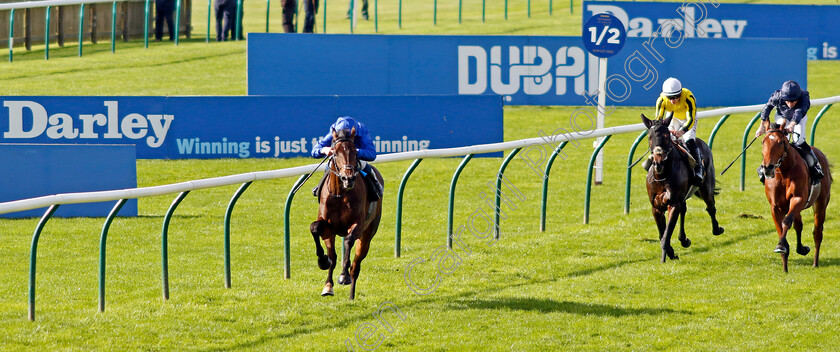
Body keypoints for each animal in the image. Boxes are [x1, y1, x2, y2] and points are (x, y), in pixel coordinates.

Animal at [310, 128, 386, 298]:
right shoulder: (327, 227)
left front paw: (343, 276)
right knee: (334, 256)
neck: (340, 194)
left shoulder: (358, 224)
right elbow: (315, 228)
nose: (348, 178)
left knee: (356, 266)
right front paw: (323, 261)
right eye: (335, 152)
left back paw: (351, 295)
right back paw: (328, 286)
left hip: (368, 233)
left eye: (355, 152)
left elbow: (349, 241)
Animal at [644, 114, 720, 262]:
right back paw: (684, 239)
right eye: (649, 136)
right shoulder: (656, 207)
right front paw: (671, 252)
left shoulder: (673, 203)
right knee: (684, 210)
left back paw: (717, 229)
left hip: (706, 188)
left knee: (711, 207)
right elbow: (662, 233)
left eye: (666, 135)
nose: (658, 163)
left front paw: (665, 257)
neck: (663, 175)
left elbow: (666, 234)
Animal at [756, 121, 832, 272]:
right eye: (763, 141)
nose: (768, 167)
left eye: (780, 142)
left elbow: (786, 222)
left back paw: (815, 262)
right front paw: (784, 263)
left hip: (820, 204)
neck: (783, 172)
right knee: (799, 224)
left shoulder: (798, 199)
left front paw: (781, 246)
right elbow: (781, 228)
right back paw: (801, 249)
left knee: (817, 232)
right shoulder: (775, 207)